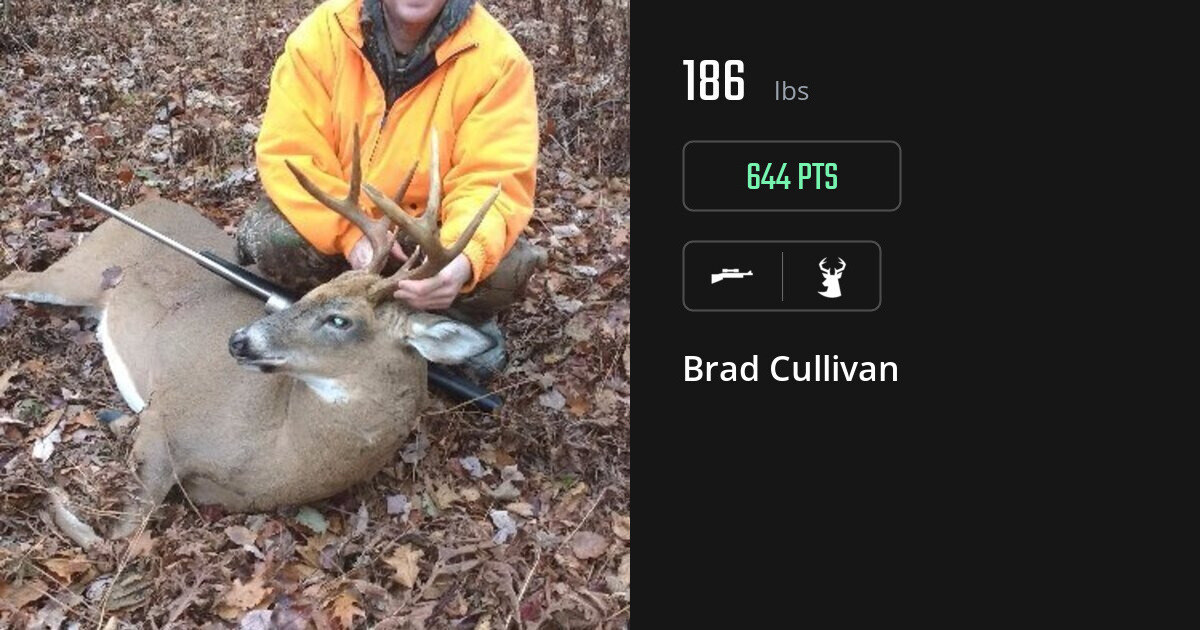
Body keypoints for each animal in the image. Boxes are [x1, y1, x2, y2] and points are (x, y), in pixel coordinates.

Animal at [0, 132, 498, 538]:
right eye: (310, 293)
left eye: (340, 320)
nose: (239, 340)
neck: (278, 449)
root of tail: (143, 202)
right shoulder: (164, 418)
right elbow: (120, 534)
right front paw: (52, 499)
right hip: (79, 272)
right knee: (16, 278)